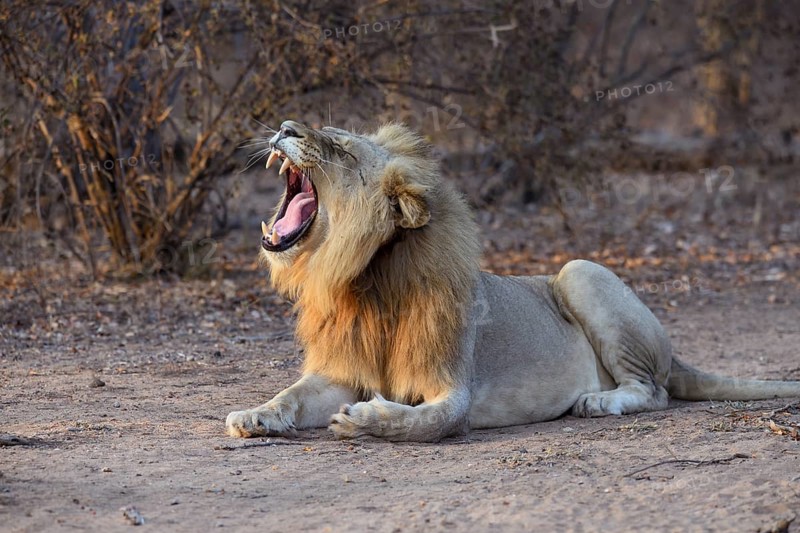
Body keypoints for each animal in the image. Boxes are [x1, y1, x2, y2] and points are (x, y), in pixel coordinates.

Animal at [225, 120, 800, 442]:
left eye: (342, 150)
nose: (285, 126)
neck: (364, 281)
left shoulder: (453, 393)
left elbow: (419, 422)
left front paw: (365, 419)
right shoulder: (342, 371)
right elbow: (291, 394)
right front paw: (256, 415)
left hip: (580, 270)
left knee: (654, 390)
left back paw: (599, 402)